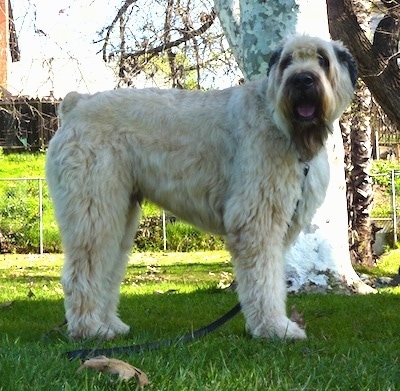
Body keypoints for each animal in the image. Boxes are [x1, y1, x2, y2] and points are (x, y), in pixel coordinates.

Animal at [46, 37, 356, 344]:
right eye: (287, 61)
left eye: (323, 59)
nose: (302, 79)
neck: (280, 123)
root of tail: (76, 104)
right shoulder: (257, 221)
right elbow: (264, 280)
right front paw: (274, 327)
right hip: (93, 211)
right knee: (83, 271)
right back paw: (89, 328)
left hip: (119, 214)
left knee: (108, 271)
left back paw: (110, 324)